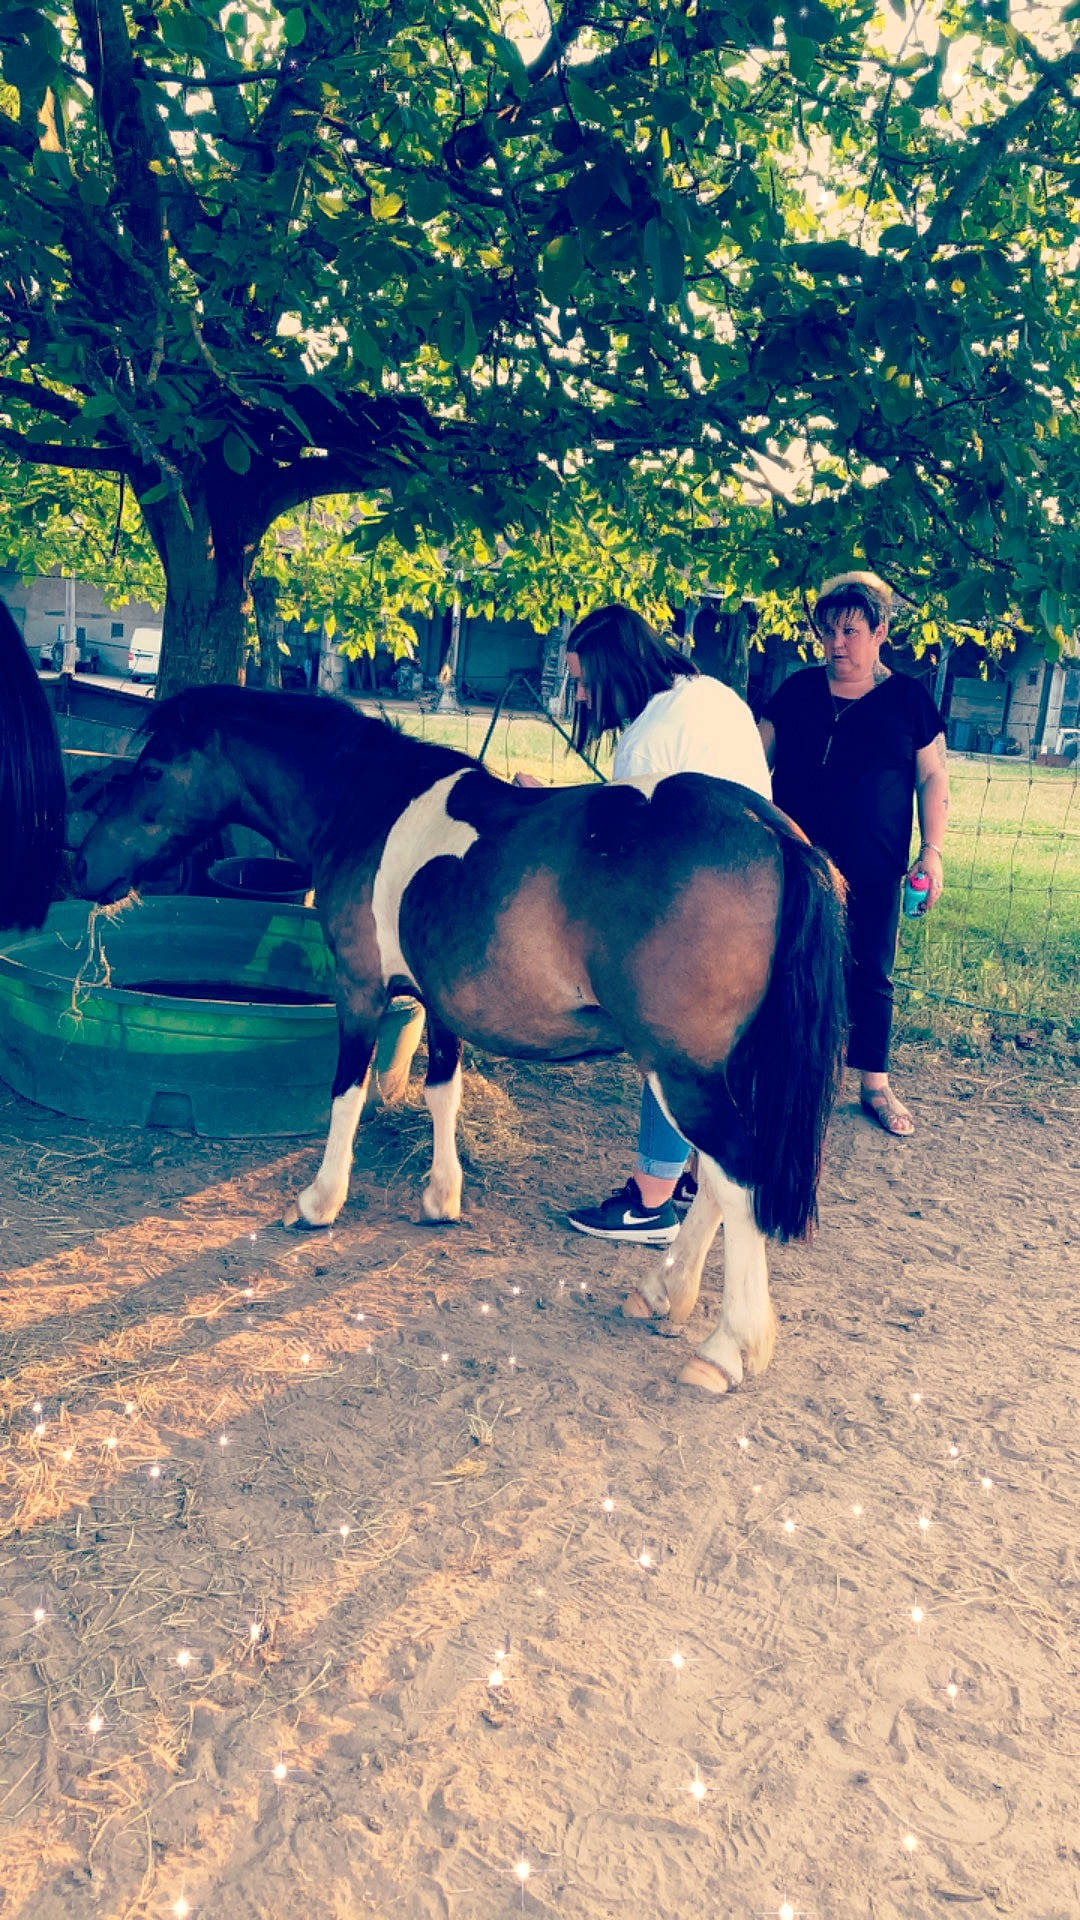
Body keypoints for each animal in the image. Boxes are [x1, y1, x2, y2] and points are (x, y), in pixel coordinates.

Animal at [69, 684, 848, 1397]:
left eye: (151, 770)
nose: (82, 869)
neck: (367, 802)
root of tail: (770, 829)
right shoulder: (440, 1004)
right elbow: (442, 1092)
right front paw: (441, 1198)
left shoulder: (359, 991)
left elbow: (346, 1095)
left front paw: (320, 1202)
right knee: (716, 1180)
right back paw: (664, 1295)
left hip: (681, 1072)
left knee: (736, 1175)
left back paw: (724, 1349)